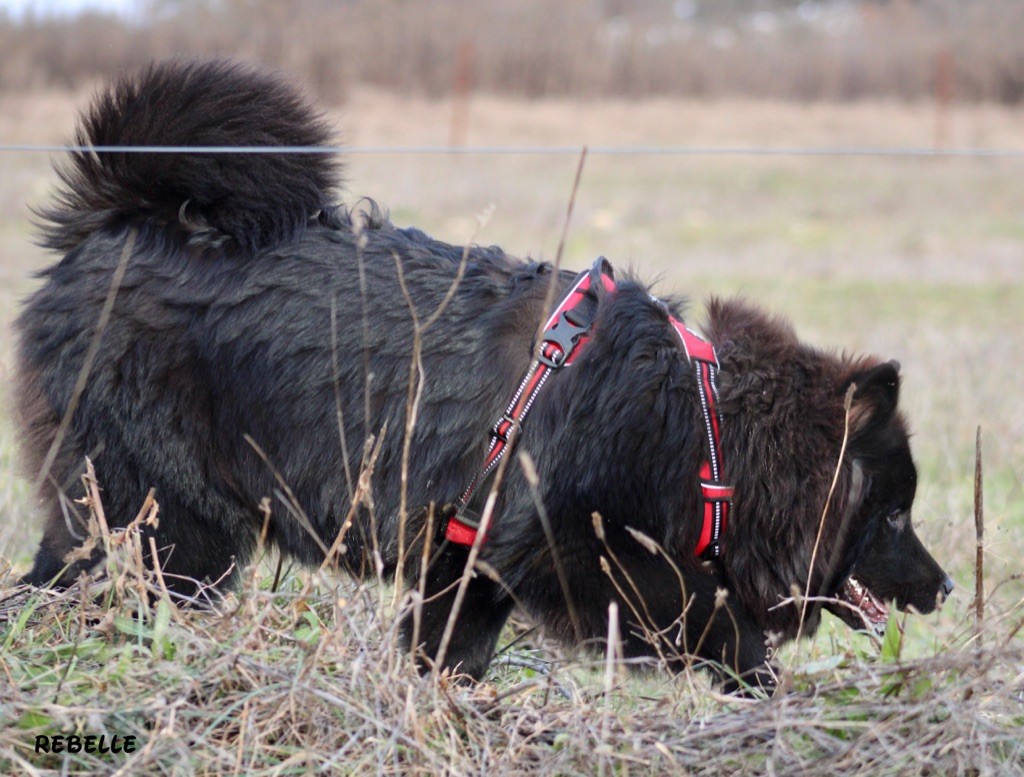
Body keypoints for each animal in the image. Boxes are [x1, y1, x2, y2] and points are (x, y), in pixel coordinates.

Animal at [14, 62, 950, 692]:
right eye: (892, 513)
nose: (946, 586)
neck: (703, 424)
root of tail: (116, 222)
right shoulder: (573, 550)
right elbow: (719, 622)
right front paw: (769, 694)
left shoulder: (472, 564)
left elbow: (447, 651)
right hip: (167, 524)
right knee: (79, 587)